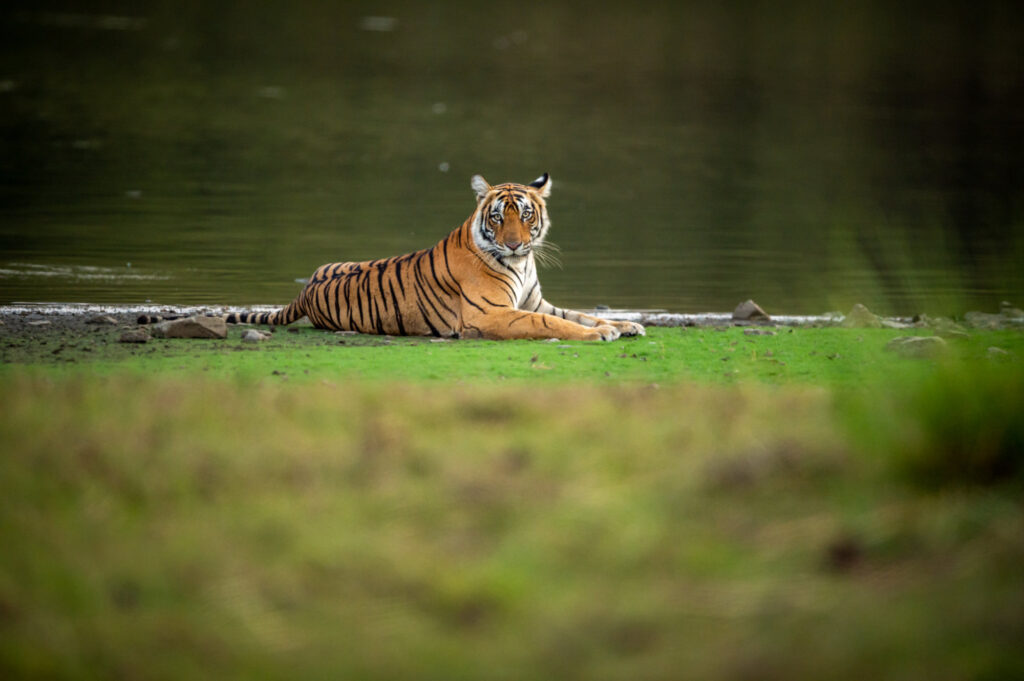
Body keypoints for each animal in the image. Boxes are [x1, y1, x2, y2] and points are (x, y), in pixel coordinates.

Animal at [201, 174, 644, 341]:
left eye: (526, 214)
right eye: (498, 217)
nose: (515, 245)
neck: (521, 263)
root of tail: (306, 288)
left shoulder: (535, 301)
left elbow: (579, 313)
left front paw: (624, 324)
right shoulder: (492, 313)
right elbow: (552, 323)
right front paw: (602, 334)